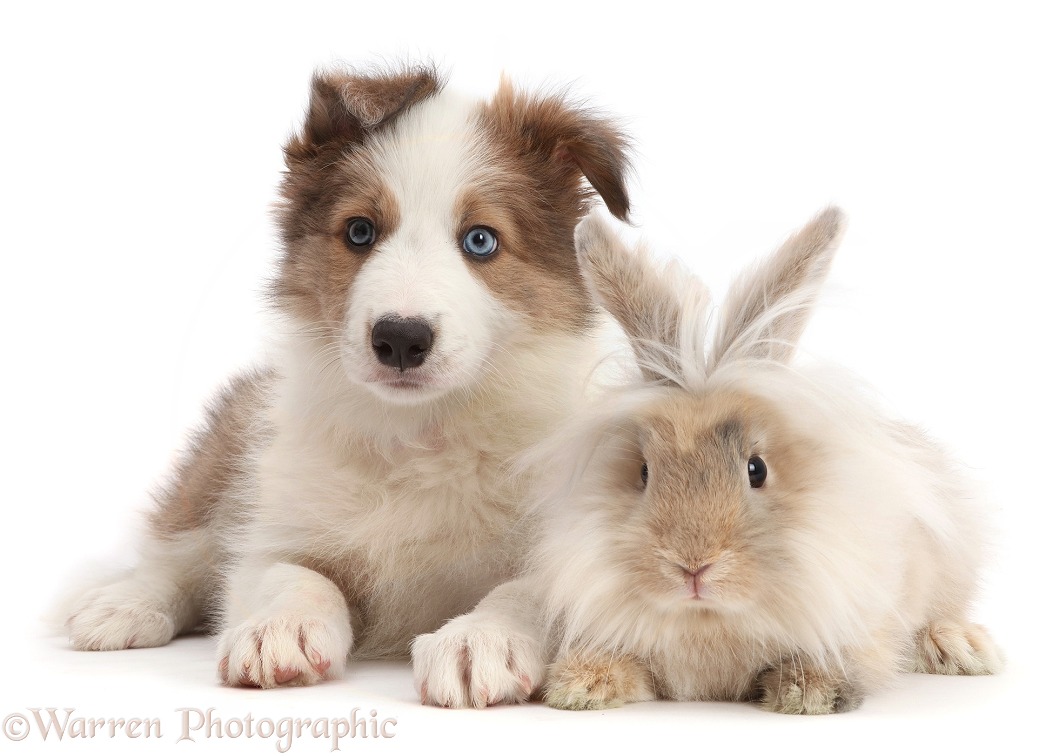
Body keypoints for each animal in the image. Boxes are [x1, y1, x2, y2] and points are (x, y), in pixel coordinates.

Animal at [69, 64, 631, 689]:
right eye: (360, 232)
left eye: (481, 240)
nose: (401, 339)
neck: (420, 434)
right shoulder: (275, 525)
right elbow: (293, 574)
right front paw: (280, 629)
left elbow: (528, 590)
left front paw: (481, 640)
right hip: (225, 461)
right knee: (179, 552)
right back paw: (121, 606)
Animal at [411, 207, 997, 714]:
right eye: (643, 472)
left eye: (756, 469)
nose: (693, 565)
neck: (707, 620)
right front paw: (583, 685)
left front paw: (808, 693)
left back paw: (960, 646)